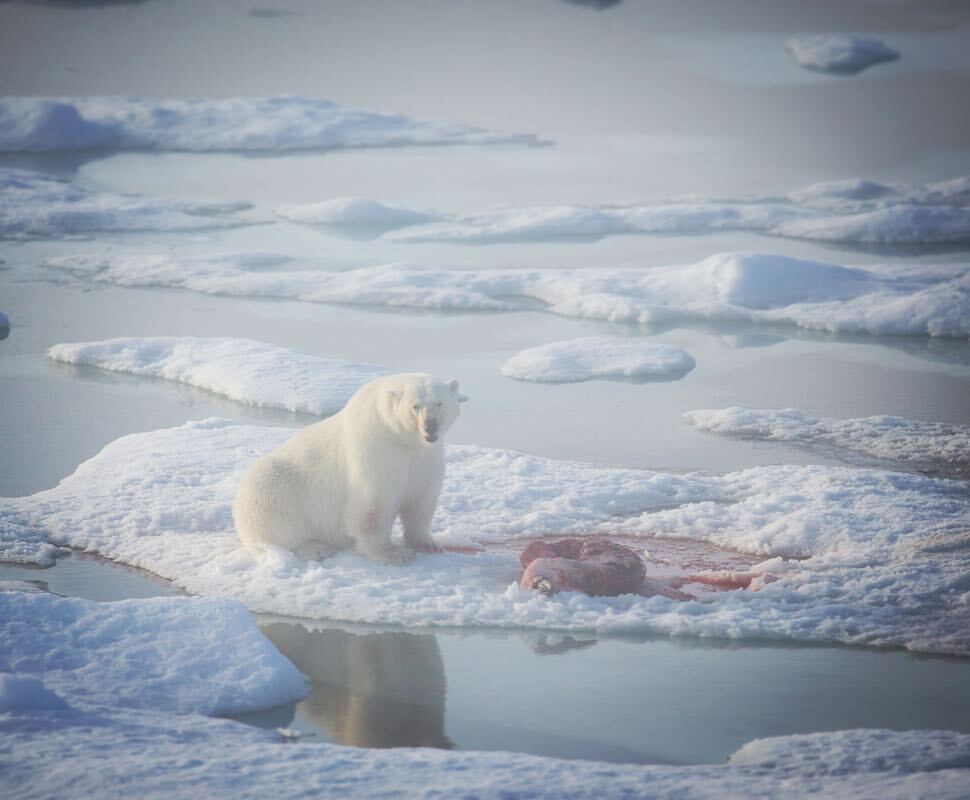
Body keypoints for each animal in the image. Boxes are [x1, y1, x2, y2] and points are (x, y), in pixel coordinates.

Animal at [233, 374, 464, 564]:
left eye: (440, 403)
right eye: (415, 406)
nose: (430, 426)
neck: (402, 439)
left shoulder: (425, 456)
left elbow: (421, 499)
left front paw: (429, 544)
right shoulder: (377, 448)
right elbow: (373, 505)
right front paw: (393, 554)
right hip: (272, 488)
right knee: (272, 519)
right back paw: (315, 548)